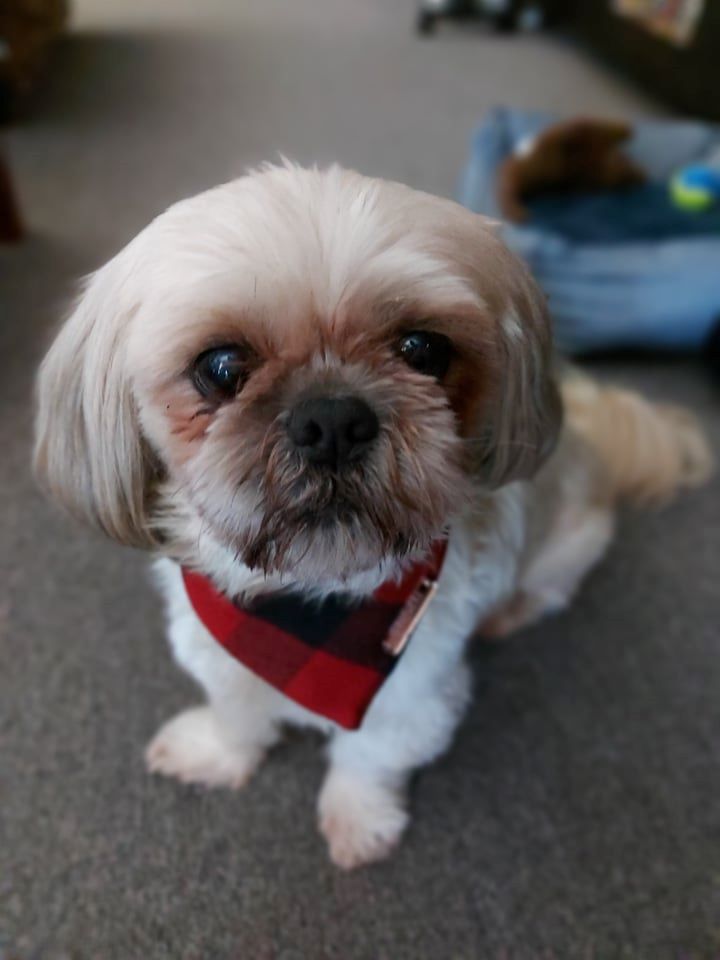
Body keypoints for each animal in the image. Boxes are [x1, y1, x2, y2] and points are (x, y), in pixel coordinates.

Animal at [32, 161, 708, 868]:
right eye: (219, 366)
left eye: (424, 349)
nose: (331, 420)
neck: (310, 606)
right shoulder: (216, 643)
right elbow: (236, 710)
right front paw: (217, 752)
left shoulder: (411, 693)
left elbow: (368, 757)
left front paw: (359, 820)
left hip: (572, 542)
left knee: (550, 591)